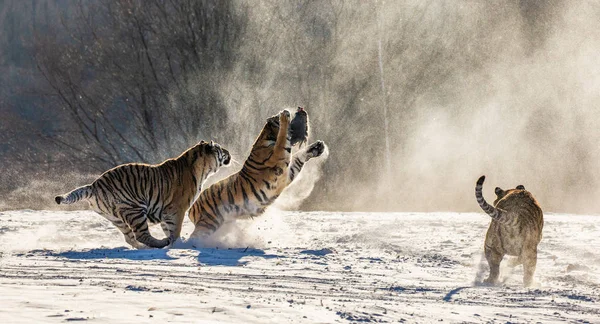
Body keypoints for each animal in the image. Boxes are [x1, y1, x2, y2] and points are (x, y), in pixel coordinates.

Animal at [55, 140, 230, 249]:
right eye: (221, 149)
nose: (229, 152)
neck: (202, 170)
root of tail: (94, 185)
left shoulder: (166, 212)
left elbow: (168, 228)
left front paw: (175, 242)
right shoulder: (176, 209)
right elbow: (175, 230)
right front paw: (177, 243)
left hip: (116, 218)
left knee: (130, 237)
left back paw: (144, 248)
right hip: (135, 209)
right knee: (141, 234)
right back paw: (160, 243)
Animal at [189, 109, 326, 238]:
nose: (301, 112)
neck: (268, 136)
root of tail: (192, 207)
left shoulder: (286, 173)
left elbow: (298, 157)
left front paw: (317, 147)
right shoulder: (279, 157)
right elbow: (283, 139)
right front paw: (284, 116)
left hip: (222, 223)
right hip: (208, 223)